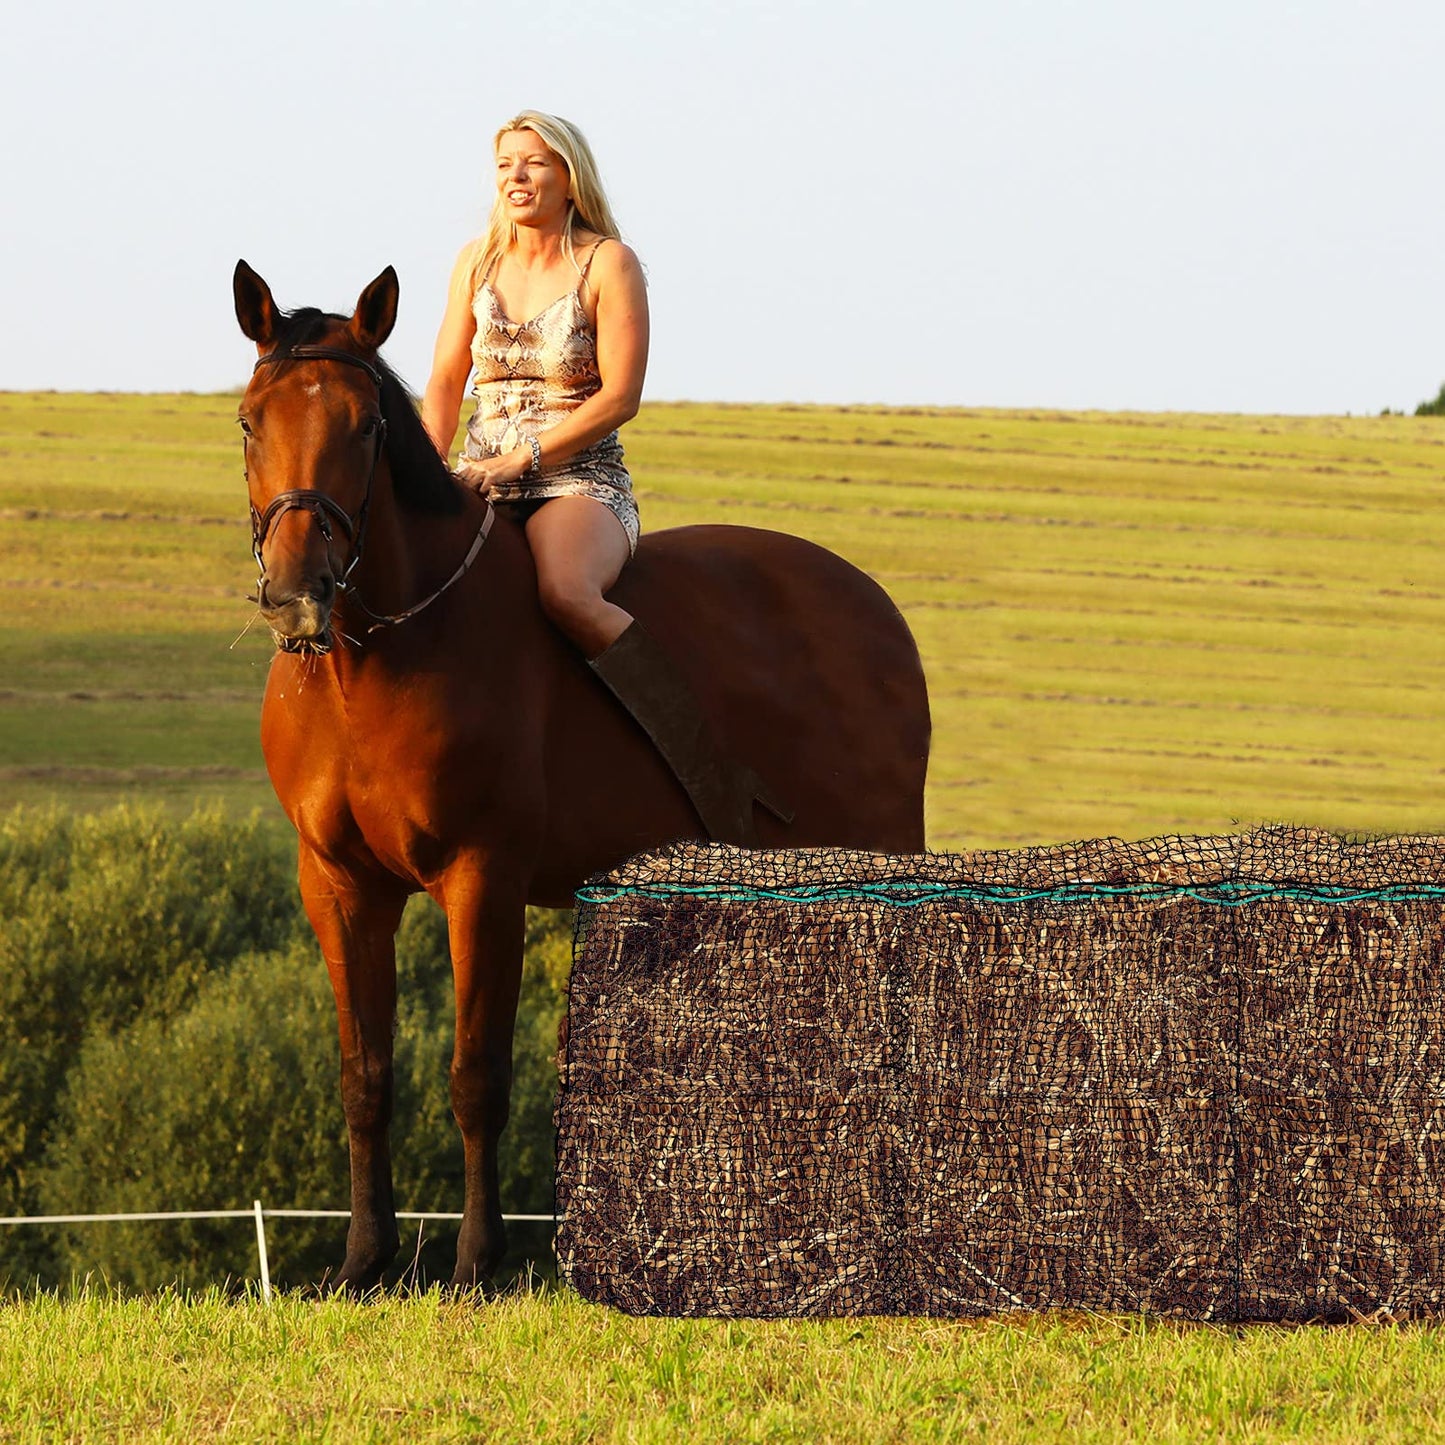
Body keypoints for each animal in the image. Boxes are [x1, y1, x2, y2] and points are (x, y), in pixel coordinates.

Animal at [232, 260, 931, 1291]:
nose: (297, 593)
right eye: (250, 420)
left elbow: (476, 1074)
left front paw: (477, 1264)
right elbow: (365, 1076)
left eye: (364, 427)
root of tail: (875, 607)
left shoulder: (483, 879)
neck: (372, 664)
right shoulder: (339, 886)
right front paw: (362, 1261)